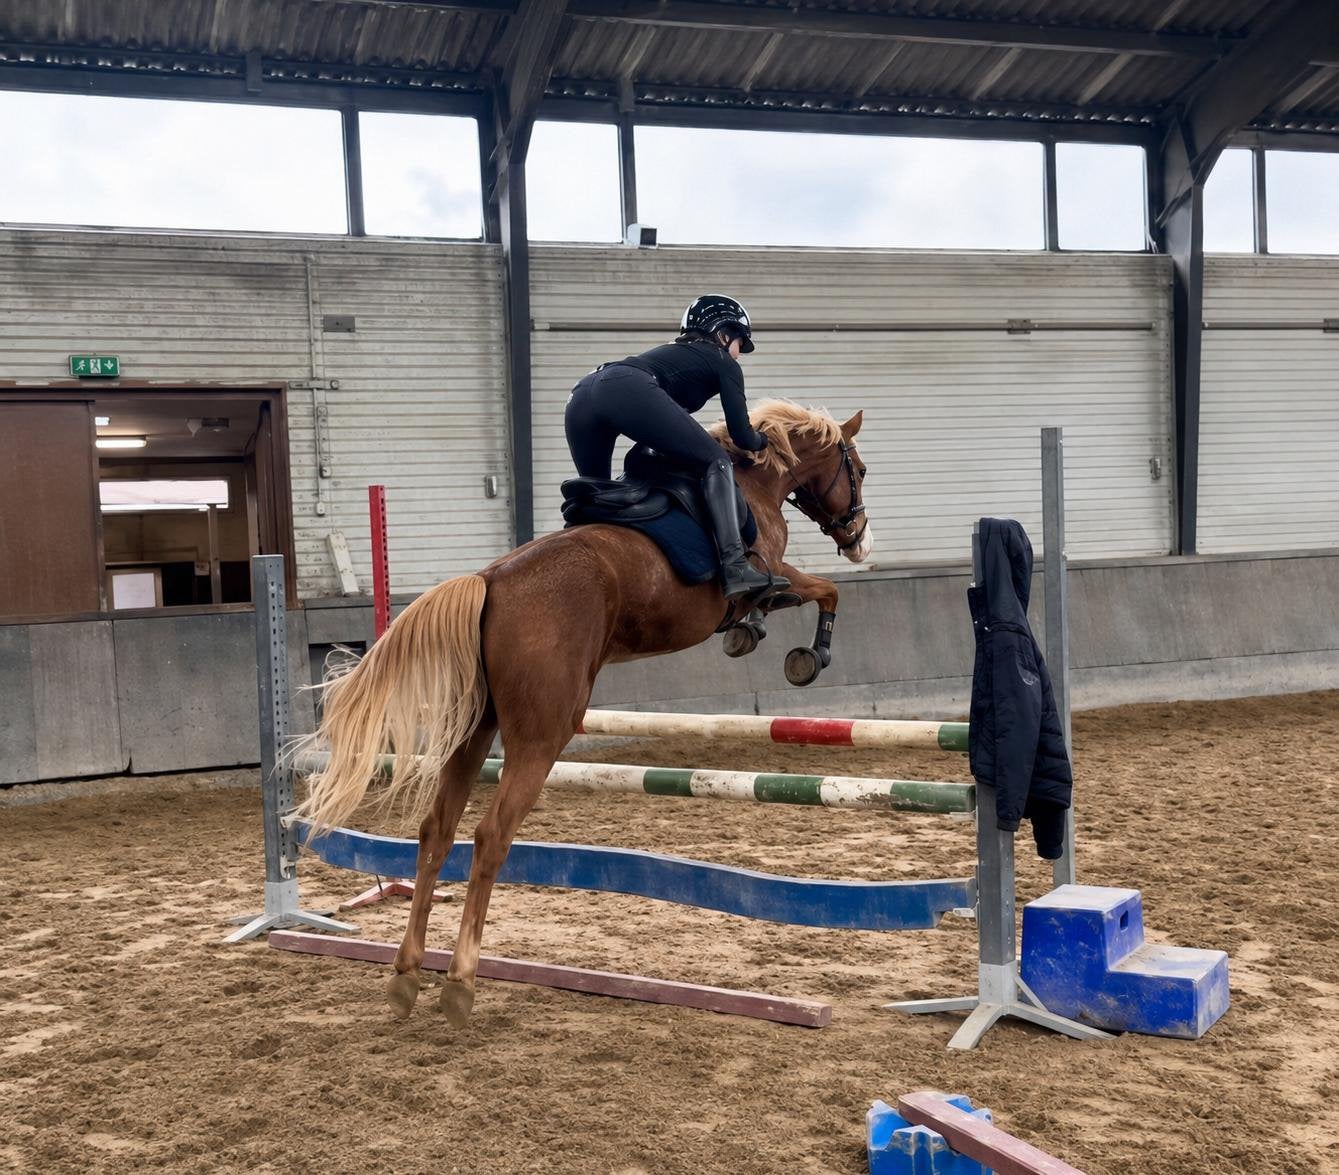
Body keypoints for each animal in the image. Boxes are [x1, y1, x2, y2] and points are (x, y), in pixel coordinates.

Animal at [293, 400, 871, 1025]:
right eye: (858, 470)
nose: (858, 540)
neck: (754, 482)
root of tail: (490, 579)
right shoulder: (772, 571)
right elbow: (822, 591)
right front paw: (806, 657)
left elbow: (802, 598)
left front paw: (755, 635)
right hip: (545, 733)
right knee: (491, 836)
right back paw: (460, 981)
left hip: (476, 730)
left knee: (436, 832)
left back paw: (406, 973)